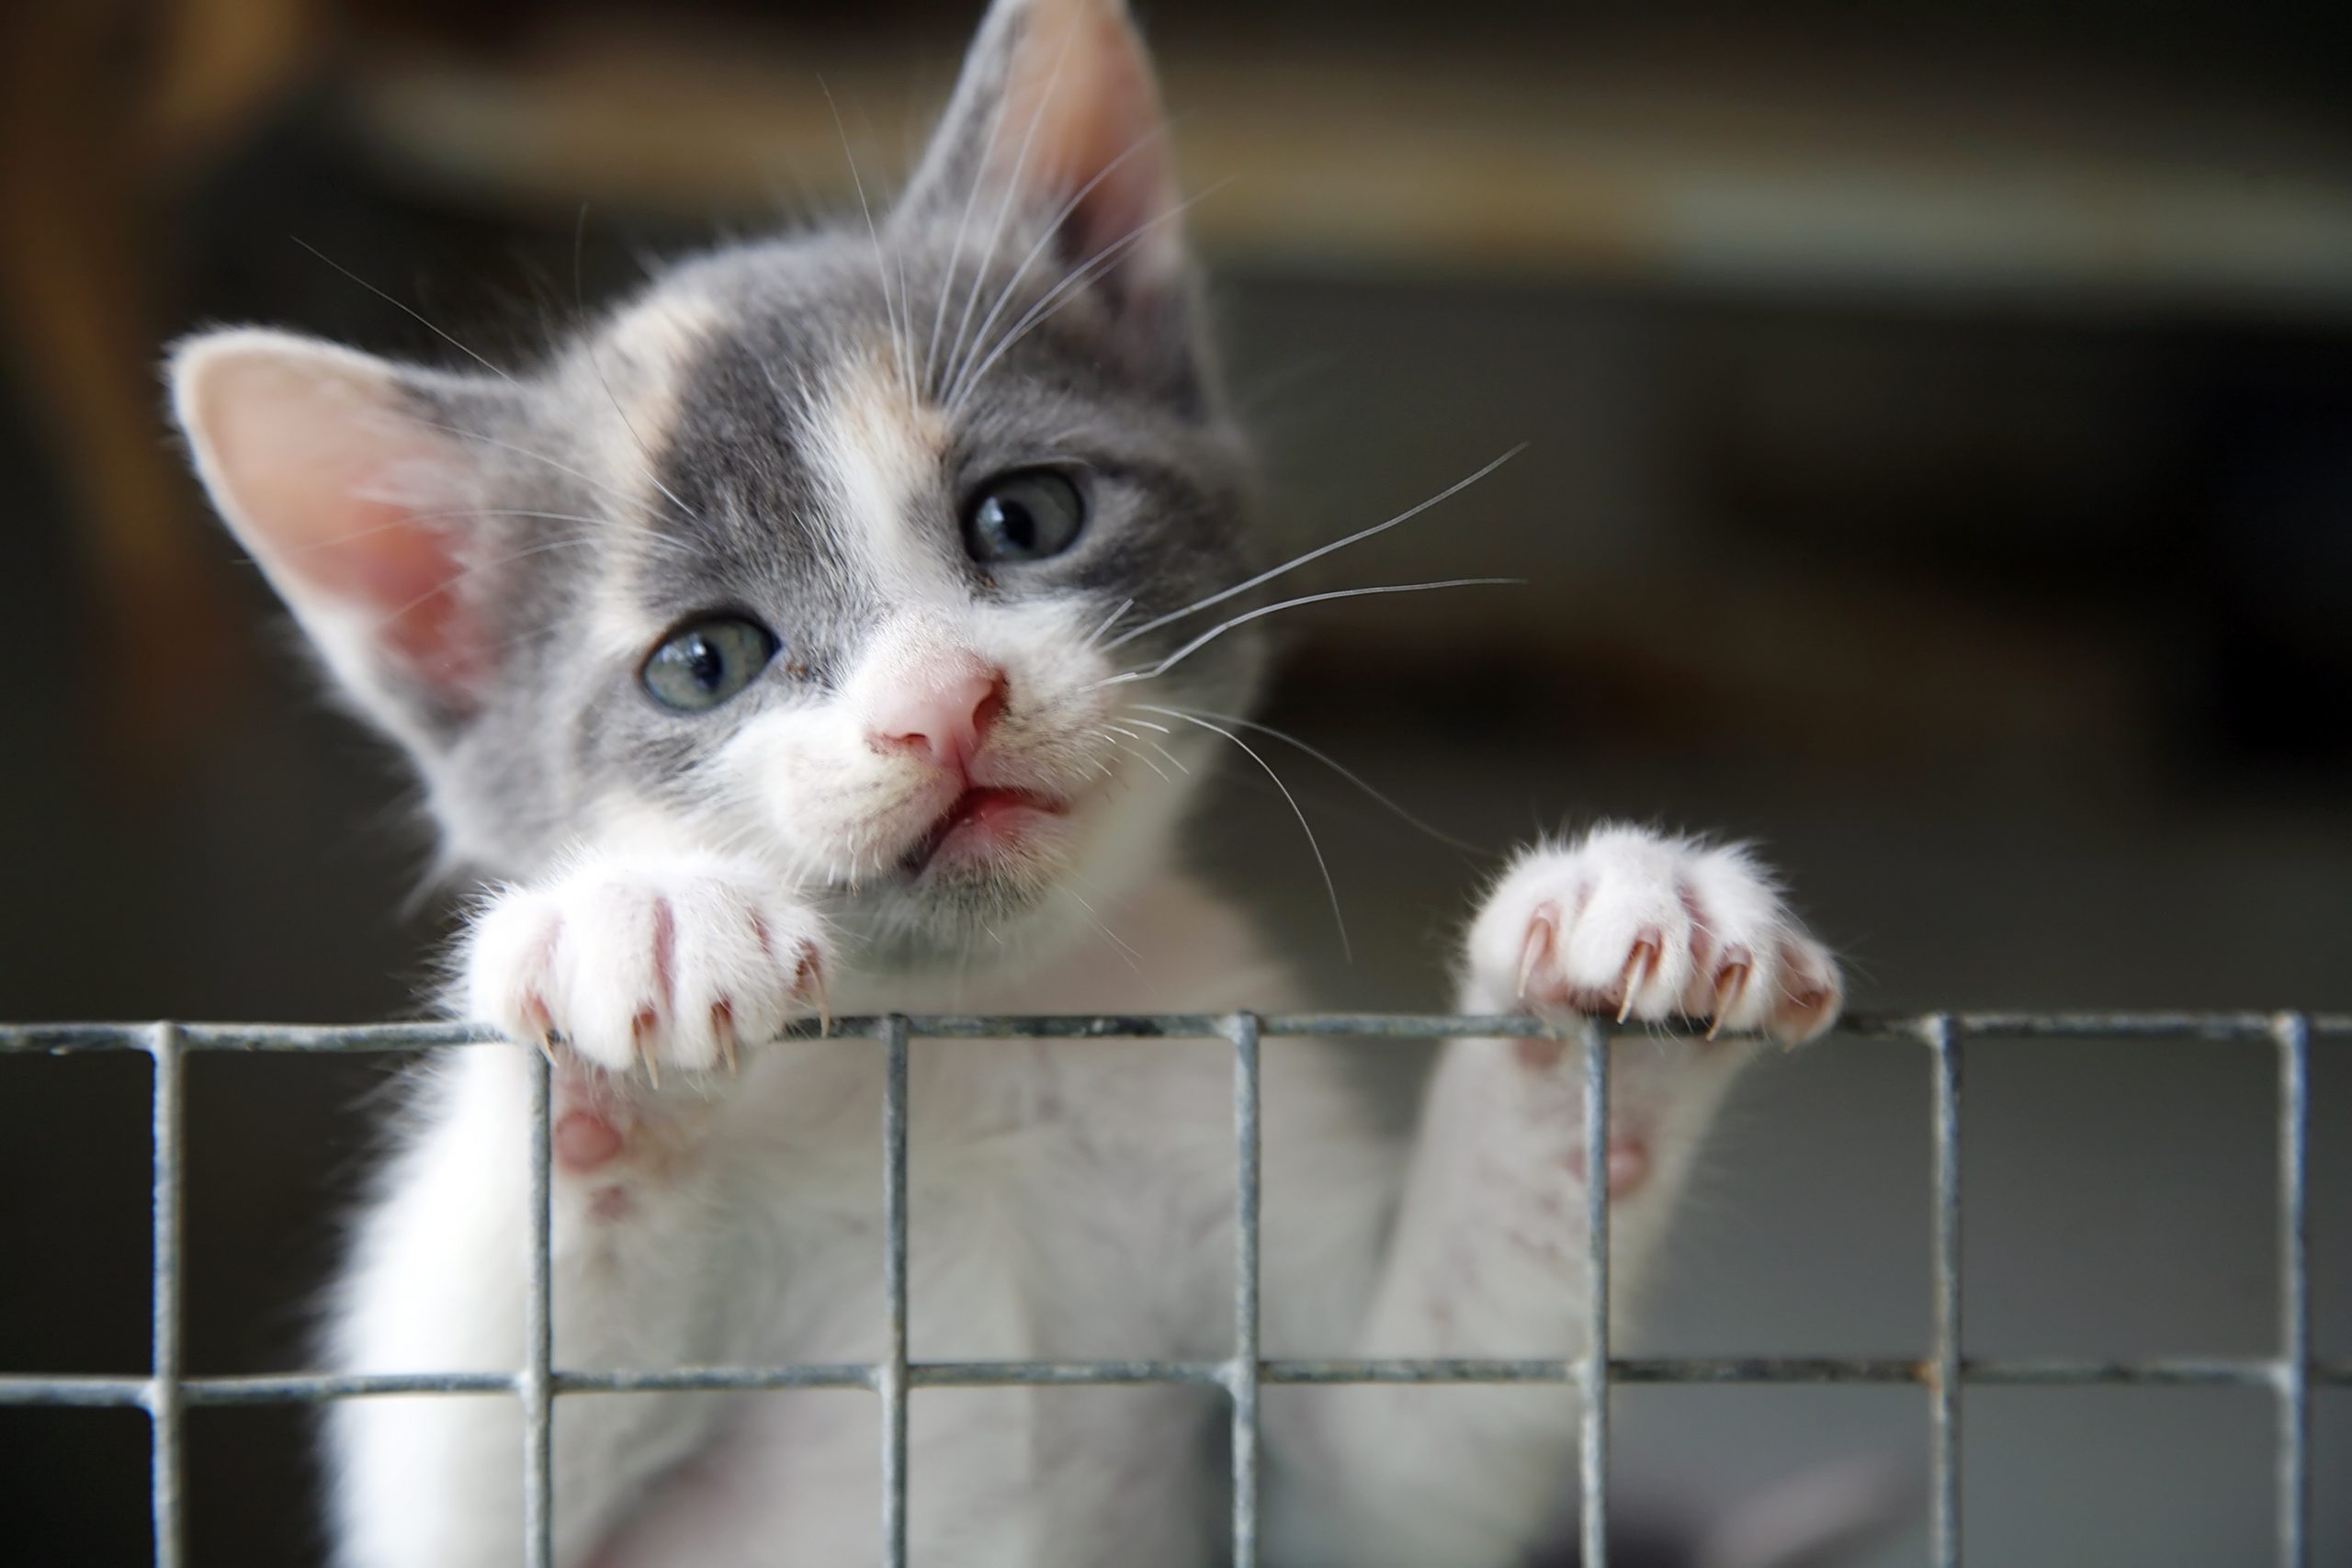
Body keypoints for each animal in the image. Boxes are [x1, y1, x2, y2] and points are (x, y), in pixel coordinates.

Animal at [174, 3, 1844, 1568]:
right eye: (704, 661)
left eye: (1024, 515)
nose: (940, 705)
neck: (972, 1037)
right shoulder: (451, 1504)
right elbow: (461, 1457)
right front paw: (624, 935)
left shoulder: (1333, 1458)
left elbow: (1411, 1459)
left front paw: (1622, 954)